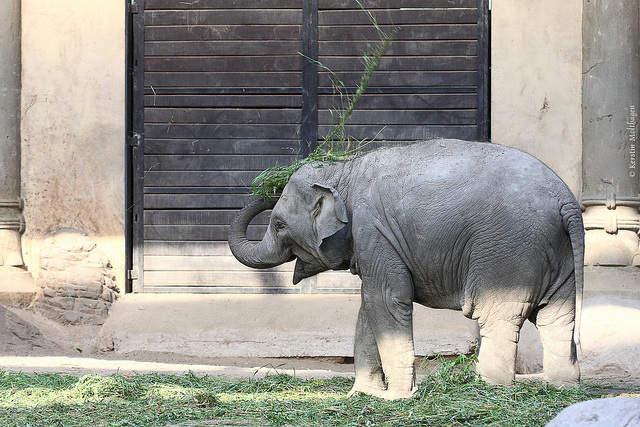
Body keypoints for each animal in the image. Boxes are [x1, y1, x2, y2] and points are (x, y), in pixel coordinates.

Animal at [228, 140, 584, 402]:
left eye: (278, 224)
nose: (264, 188)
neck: (344, 168)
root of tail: (566, 202)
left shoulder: (374, 232)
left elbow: (386, 300)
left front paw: (396, 398)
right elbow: (369, 306)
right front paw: (361, 395)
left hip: (508, 253)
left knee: (497, 317)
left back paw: (487, 389)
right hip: (558, 256)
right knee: (556, 318)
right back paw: (561, 388)